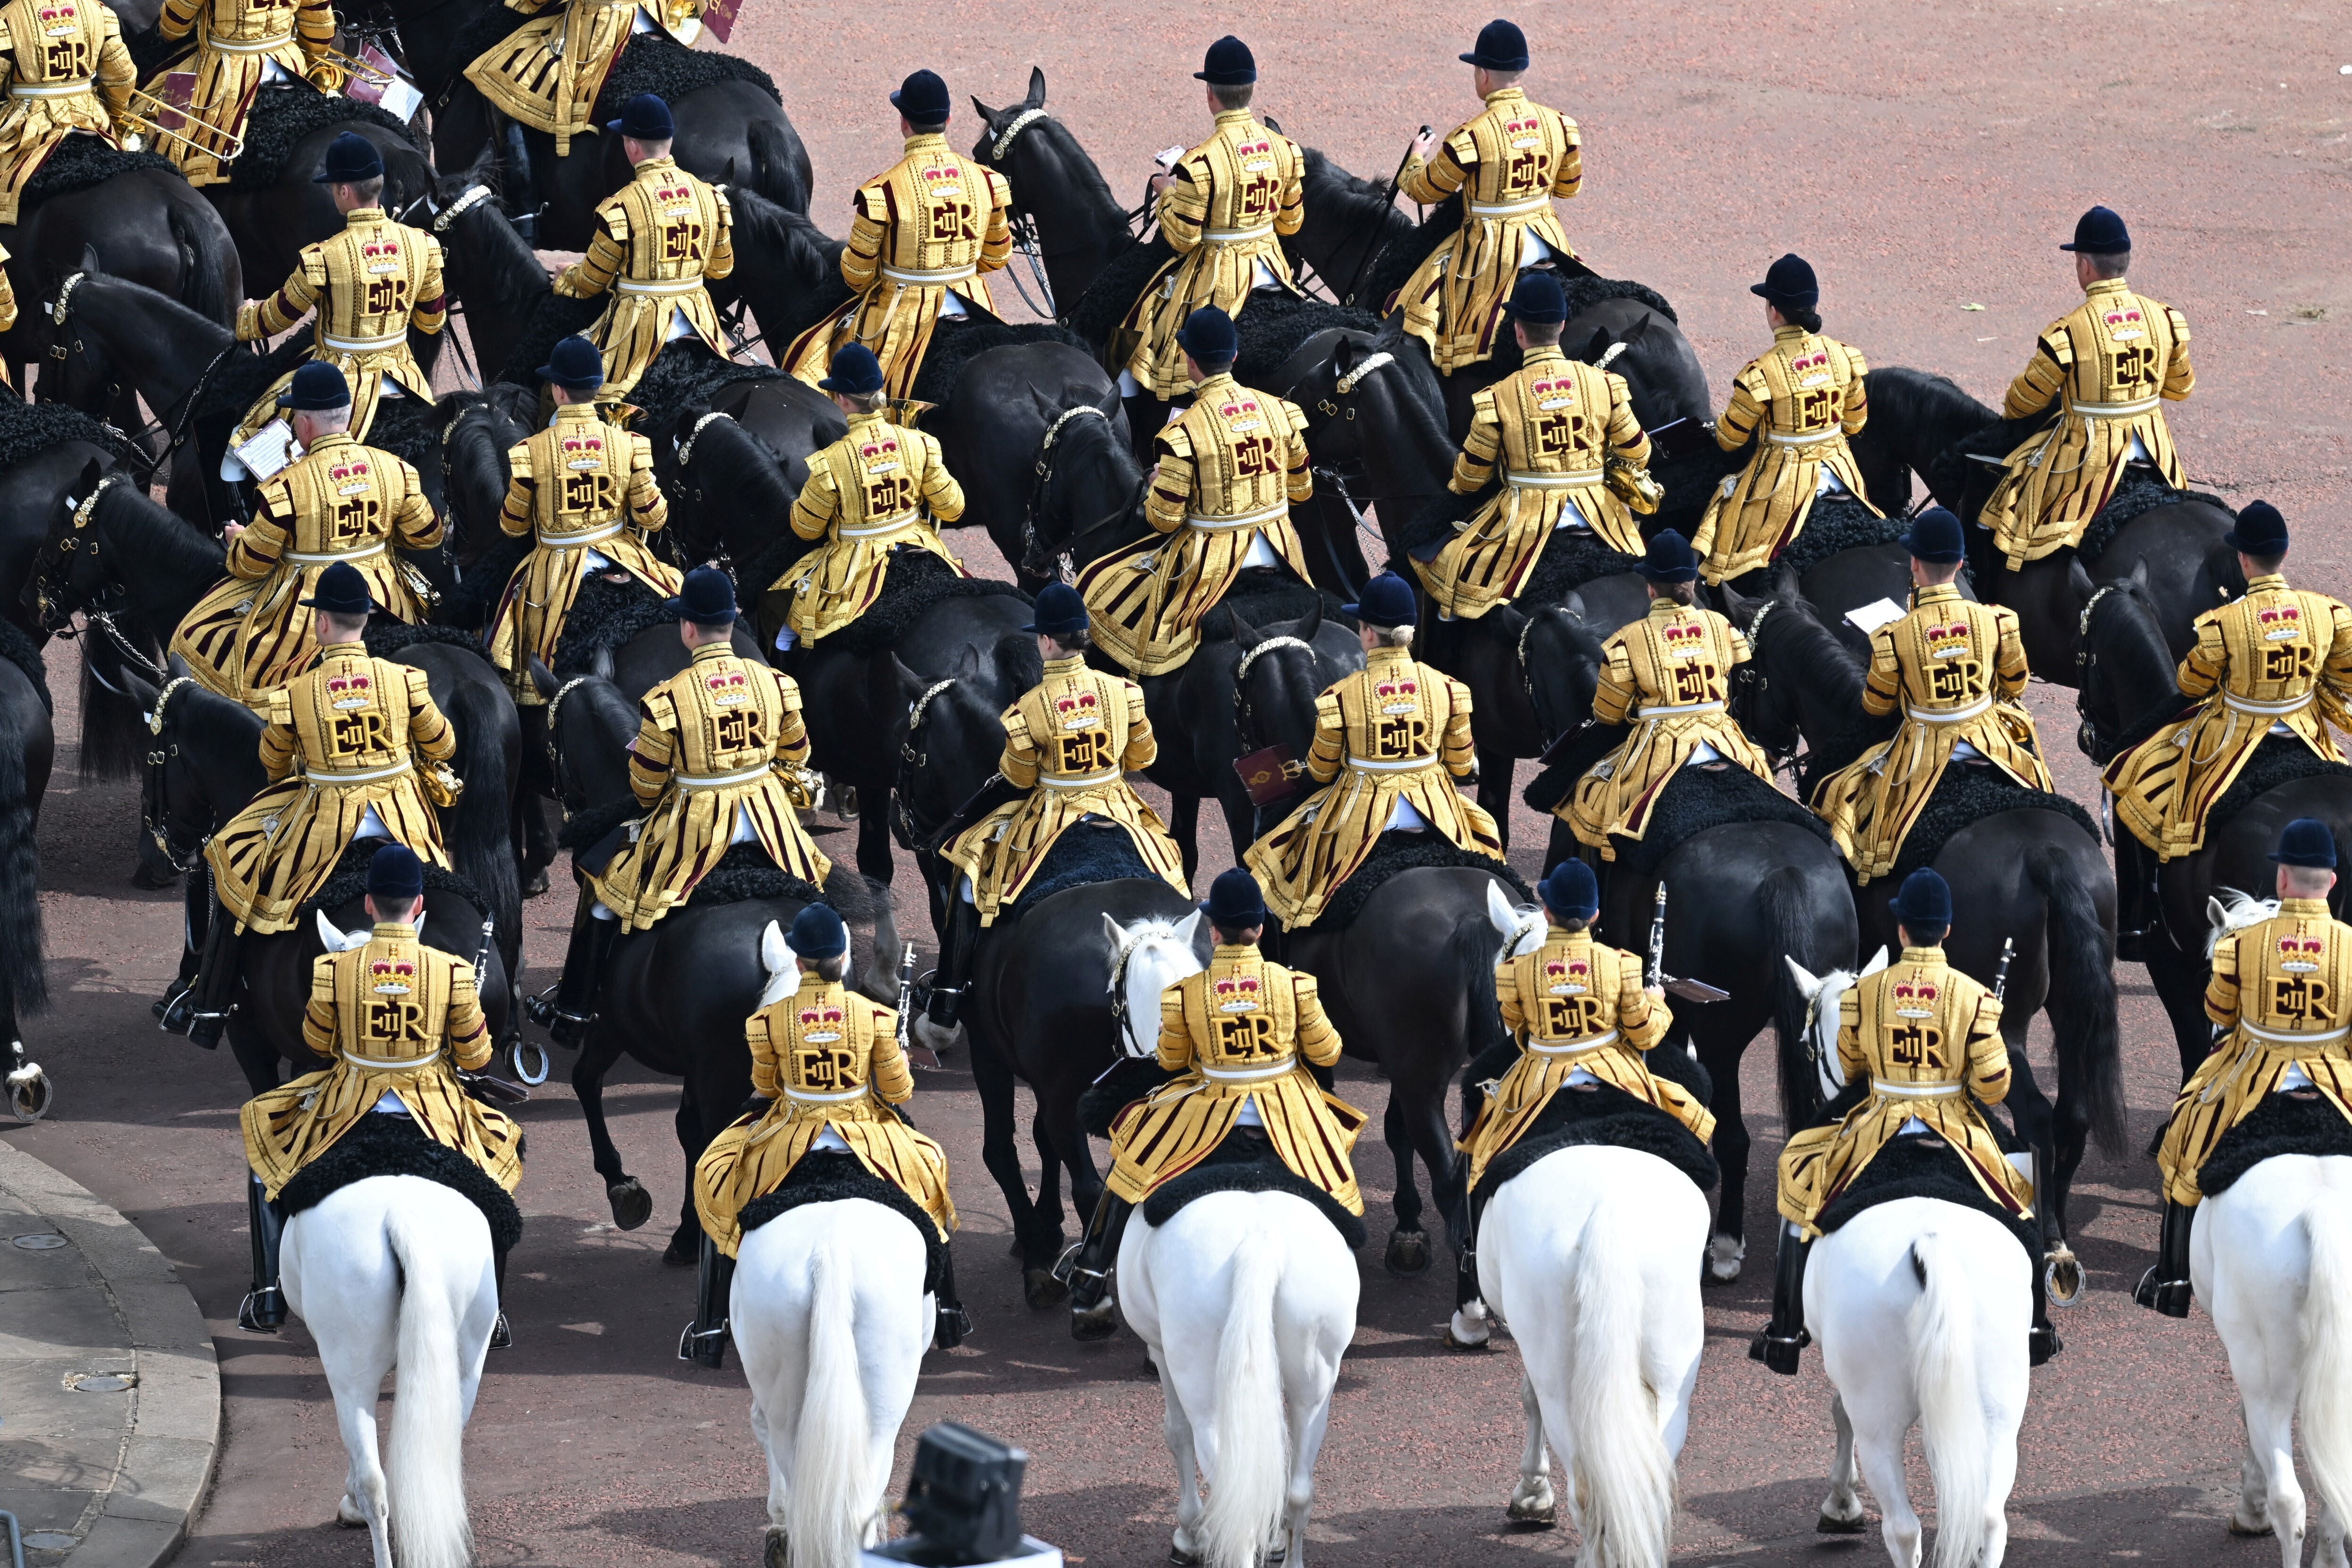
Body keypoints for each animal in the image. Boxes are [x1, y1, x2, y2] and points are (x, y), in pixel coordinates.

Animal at [1119, 1189, 1364, 1568]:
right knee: (1298, 1491)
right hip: (1315, 1386)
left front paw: (1189, 1536)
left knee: (1235, 1498)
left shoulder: (1160, 1352)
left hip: (1200, 1382)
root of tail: (1261, 1239)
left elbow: (1177, 1433)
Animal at [1477, 1147, 1702, 1561]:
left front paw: (1532, 1494)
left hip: (1561, 1389)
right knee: (1650, 1489)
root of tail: (1609, 1214)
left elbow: (1528, 1397)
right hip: (1672, 1386)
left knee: (1584, 1491)